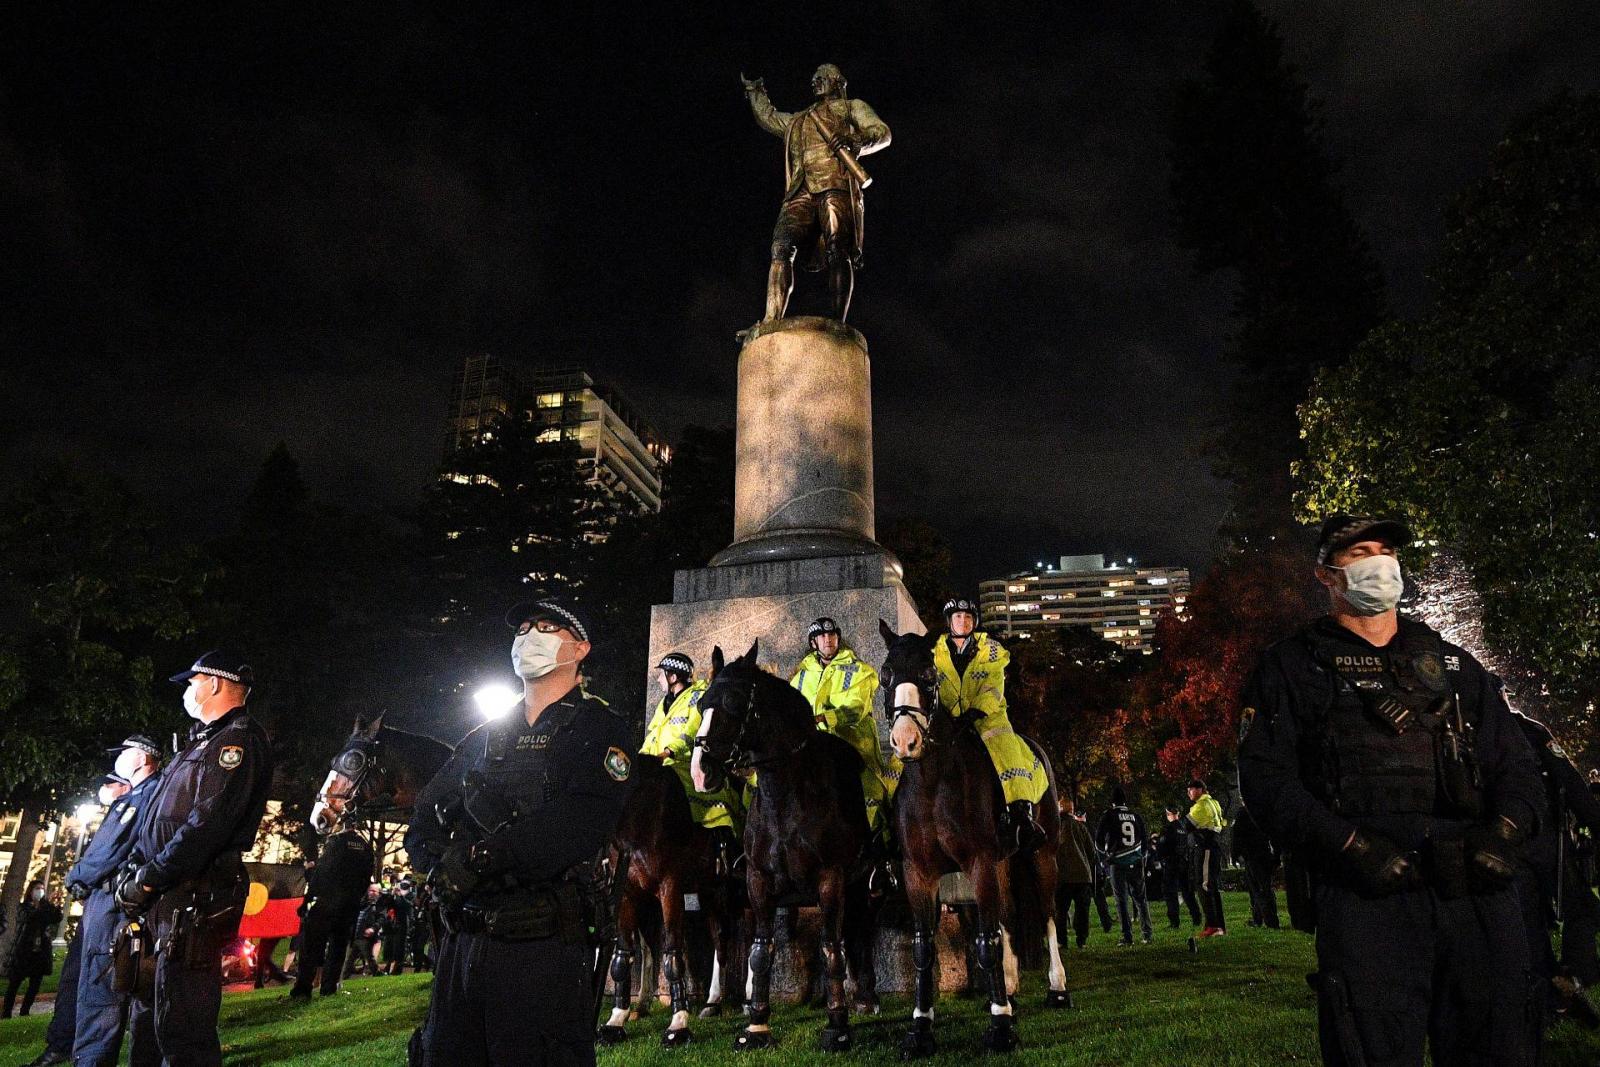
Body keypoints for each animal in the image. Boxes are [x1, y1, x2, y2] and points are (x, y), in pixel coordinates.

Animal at [598, 755, 739, 1049]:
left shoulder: (670, 888)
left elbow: (672, 955)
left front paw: (678, 1025)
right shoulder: (627, 894)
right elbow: (623, 956)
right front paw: (616, 1021)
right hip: (709, 890)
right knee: (719, 938)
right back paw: (712, 1003)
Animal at [691, 643, 883, 1049]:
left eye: (733, 702)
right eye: (701, 705)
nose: (702, 771)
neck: (786, 798)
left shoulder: (830, 879)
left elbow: (830, 947)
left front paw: (837, 1023)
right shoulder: (758, 883)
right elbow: (761, 950)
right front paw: (756, 1023)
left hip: (866, 885)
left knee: (860, 931)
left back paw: (865, 996)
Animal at [876, 620, 1075, 1055]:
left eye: (929, 676)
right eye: (885, 675)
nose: (905, 741)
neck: (933, 782)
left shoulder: (980, 864)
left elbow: (986, 940)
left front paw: (1000, 1026)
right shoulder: (918, 873)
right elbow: (924, 946)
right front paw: (921, 1027)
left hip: (1042, 855)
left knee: (1048, 914)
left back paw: (1056, 987)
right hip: (1004, 863)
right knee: (1008, 915)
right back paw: (1011, 987)